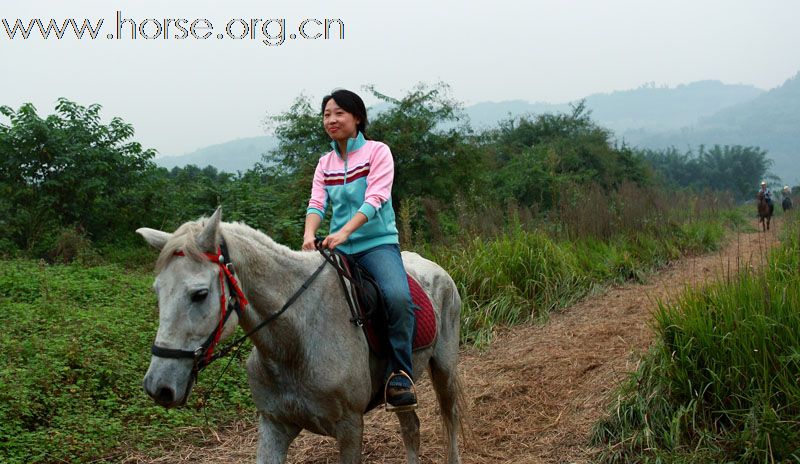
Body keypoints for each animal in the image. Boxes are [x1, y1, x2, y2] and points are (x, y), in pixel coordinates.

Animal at [135, 208, 466, 462]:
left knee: (449, 419)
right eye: (157, 291)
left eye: (200, 294)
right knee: (411, 427)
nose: (158, 386)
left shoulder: (350, 427)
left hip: (444, 369)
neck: (295, 339)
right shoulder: (274, 425)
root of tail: (436, 269)